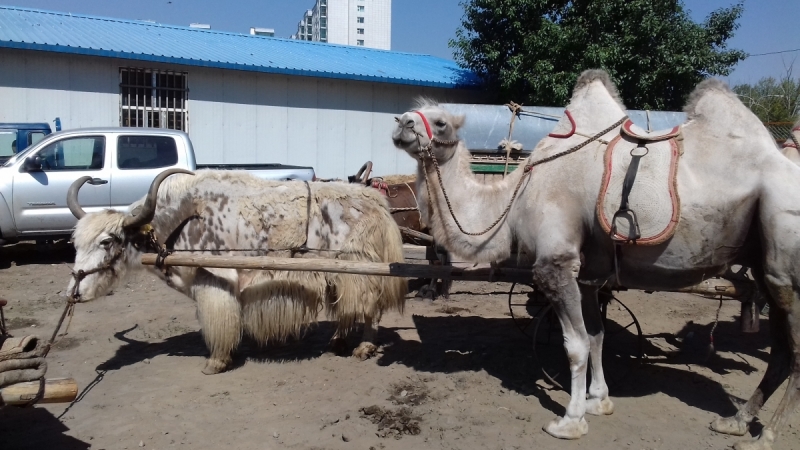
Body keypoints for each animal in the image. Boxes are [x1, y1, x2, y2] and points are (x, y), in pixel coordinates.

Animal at [392, 70, 800, 450]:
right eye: (411, 115)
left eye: (440, 121)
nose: (401, 123)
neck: (515, 196)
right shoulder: (588, 274)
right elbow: (596, 335)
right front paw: (598, 400)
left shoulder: (555, 263)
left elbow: (575, 344)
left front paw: (570, 420)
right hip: (767, 270)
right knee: (780, 350)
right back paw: (735, 421)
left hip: (785, 257)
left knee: (794, 353)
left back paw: (766, 435)